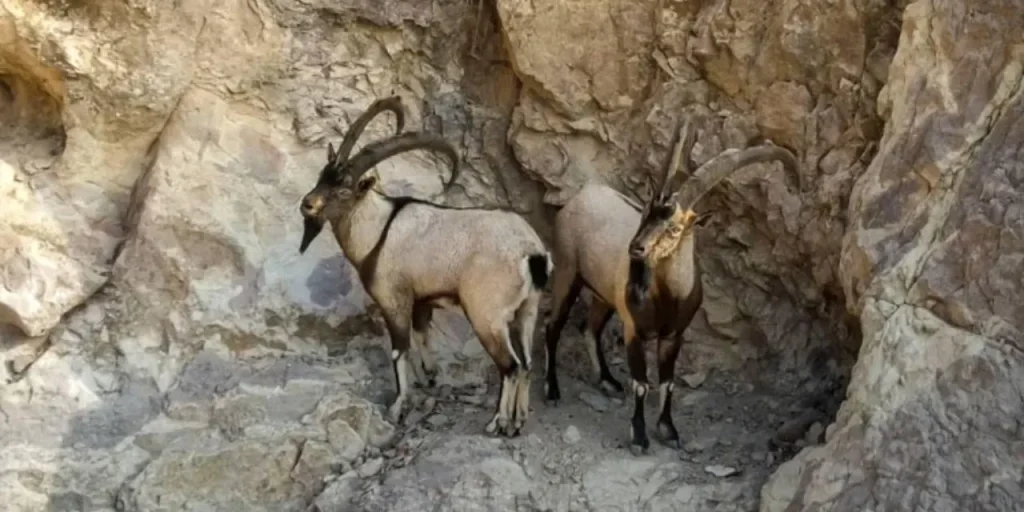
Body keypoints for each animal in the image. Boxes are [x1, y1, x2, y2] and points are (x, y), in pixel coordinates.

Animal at [297, 97, 552, 437]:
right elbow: (422, 339)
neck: (378, 232)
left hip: (487, 315)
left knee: (510, 366)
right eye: (322, 176)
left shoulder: (394, 299)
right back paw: (518, 421)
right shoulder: (421, 302)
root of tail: (531, 252)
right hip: (527, 310)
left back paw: (497, 422)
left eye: (343, 191)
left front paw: (398, 407)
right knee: (526, 364)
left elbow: (399, 349)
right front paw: (429, 378)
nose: (307, 204)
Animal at [543, 117, 799, 452]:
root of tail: (580, 197)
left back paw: (607, 381)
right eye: (645, 213)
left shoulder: (674, 335)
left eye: (675, 228)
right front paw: (639, 437)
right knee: (553, 327)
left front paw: (668, 430)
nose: (636, 249)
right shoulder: (634, 330)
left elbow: (668, 382)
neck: (667, 298)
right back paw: (552, 390)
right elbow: (641, 384)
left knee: (590, 328)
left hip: (605, 295)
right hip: (567, 272)